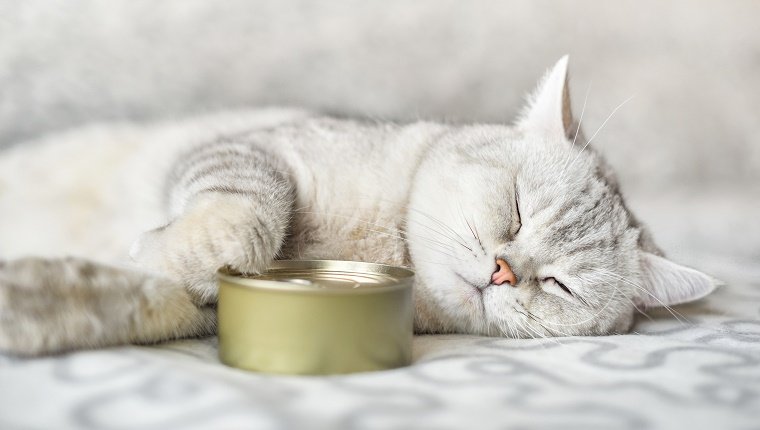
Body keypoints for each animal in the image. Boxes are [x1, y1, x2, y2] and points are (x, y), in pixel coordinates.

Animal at [0, 57, 720, 356]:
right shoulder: (248, 151)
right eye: (517, 209)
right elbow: (249, 218)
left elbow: (139, 299)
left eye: (560, 285)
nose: (502, 271)